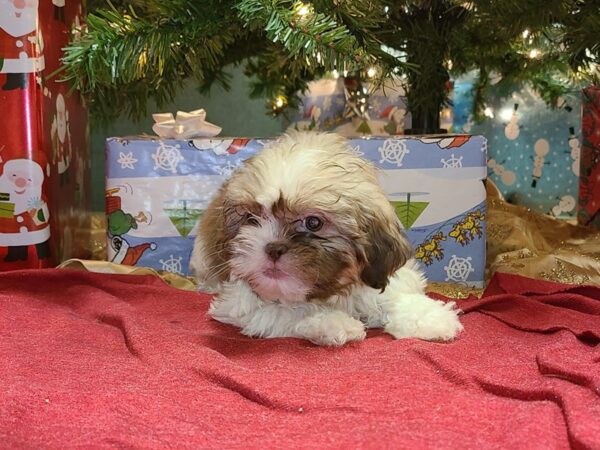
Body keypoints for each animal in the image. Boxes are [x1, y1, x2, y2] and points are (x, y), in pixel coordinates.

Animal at [190, 132, 462, 346]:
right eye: (251, 219)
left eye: (313, 223)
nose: (273, 247)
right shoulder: (237, 302)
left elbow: (392, 295)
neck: (332, 290)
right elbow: (288, 310)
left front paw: (429, 317)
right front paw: (334, 323)